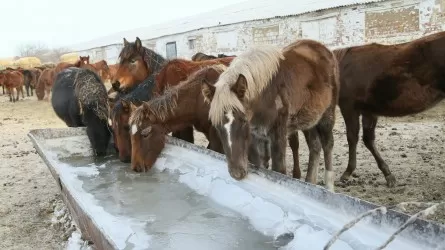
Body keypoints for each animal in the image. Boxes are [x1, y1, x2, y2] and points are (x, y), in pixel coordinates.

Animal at [202, 39, 340, 191]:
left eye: (243, 120)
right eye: (216, 125)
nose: (237, 173)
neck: (265, 94)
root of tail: (322, 48)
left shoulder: (278, 135)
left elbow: (278, 170)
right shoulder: (256, 136)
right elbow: (261, 164)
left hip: (327, 115)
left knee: (328, 144)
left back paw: (329, 187)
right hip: (309, 119)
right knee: (315, 146)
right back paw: (310, 182)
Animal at [332, 30, 445, 188]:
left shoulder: (349, 107)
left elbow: (352, 137)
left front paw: (347, 173)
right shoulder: (369, 111)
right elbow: (368, 140)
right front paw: (388, 175)